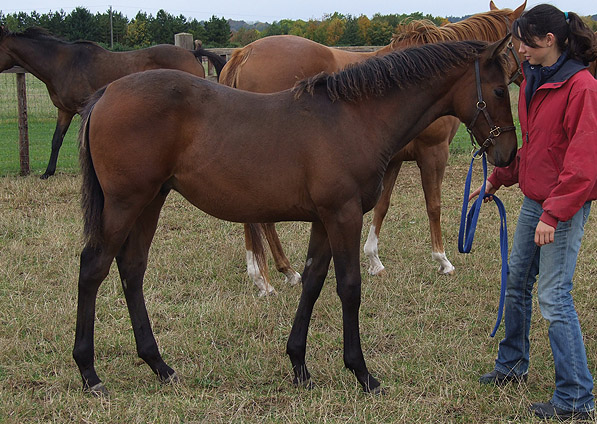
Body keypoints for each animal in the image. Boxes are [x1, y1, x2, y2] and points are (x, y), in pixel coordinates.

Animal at [0, 26, 226, 179]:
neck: (63, 63)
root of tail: (192, 52)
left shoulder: (82, 110)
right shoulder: (64, 111)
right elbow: (56, 140)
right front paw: (48, 172)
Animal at [73, 38, 516, 396]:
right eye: (498, 88)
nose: (508, 154)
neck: (355, 118)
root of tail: (105, 93)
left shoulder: (324, 219)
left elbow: (314, 282)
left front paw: (299, 366)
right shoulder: (343, 215)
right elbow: (349, 288)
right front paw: (362, 374)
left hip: (151, 201)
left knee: (132, 269)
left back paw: (160, 365)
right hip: (125, 203)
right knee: (94, 267)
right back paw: (90, 373)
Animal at [220, 0, 528, 296]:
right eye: (499, 90)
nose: (509, 151)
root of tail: (245, 52)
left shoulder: (392, 159)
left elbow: (382, 206)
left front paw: (373, 260)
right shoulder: (434, 152)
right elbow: (434, 205)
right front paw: (442, 260)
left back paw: (273, 274)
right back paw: (271, 276)